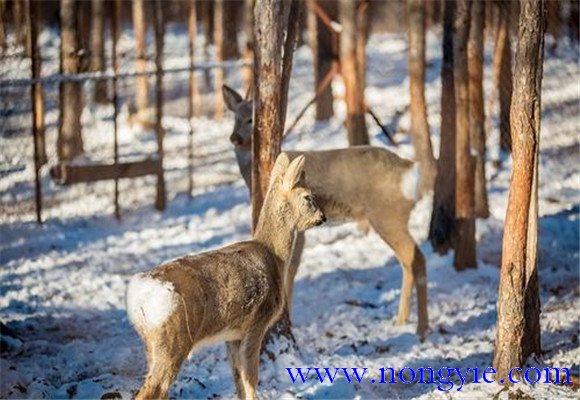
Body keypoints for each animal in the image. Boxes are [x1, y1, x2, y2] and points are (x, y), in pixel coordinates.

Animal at [126, 154, 324, 400]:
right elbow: (251, 377)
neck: (274, 256)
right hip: (172, 340)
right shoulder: (258, 321)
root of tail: (139, 297)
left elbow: (237, 378)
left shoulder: (232, 334)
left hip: (150, 343)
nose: (323, 217)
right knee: (151, 390)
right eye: (308, 196)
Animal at [222, 84, 430, 338]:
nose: (234, 138)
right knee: (408, 260)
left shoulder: (299, 227)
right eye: (235, 117)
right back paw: (403, 321)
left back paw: (419, 327)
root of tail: (411, 170)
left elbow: (291, 268)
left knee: (415, 258)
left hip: (387, 214)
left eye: (251, 119)